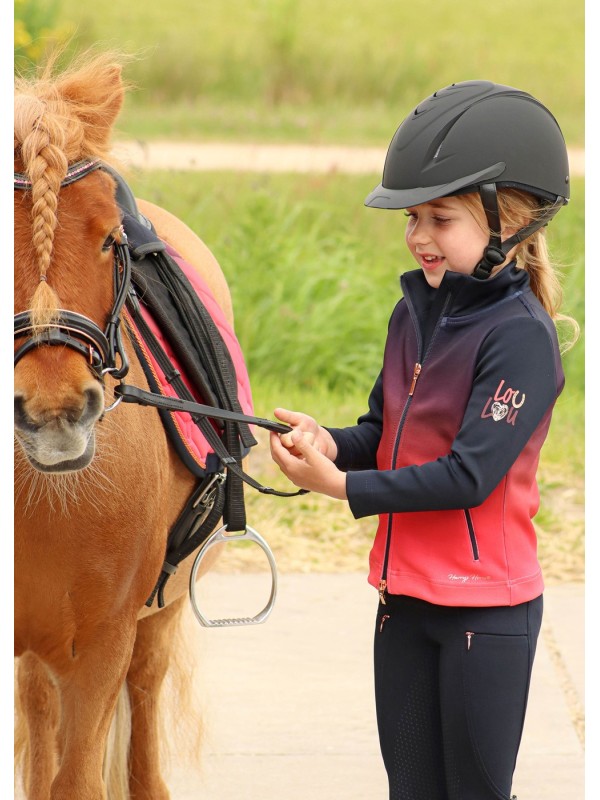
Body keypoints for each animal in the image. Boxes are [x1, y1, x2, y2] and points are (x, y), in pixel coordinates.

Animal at [13, 51, 253, 800]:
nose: (56, 411)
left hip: (159, 616)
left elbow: (78, 779)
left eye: (108, 239)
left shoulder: (102, 644)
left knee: (144, 698)